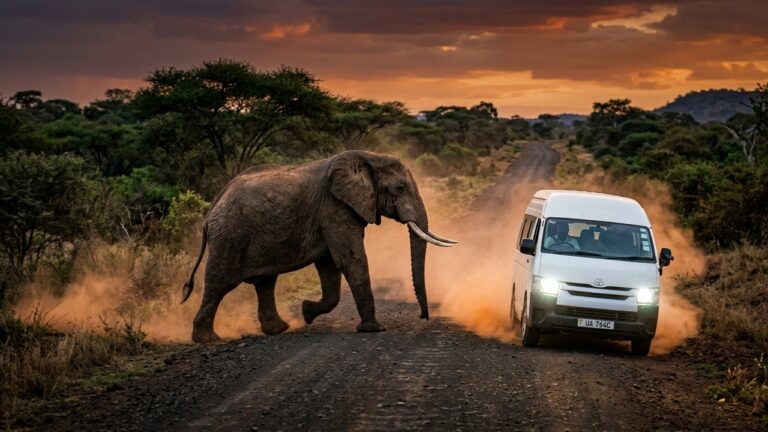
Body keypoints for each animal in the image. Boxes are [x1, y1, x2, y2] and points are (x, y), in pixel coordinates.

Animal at [181, 150, 456, 343]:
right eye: (400, 188)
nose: (423, 316)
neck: (368, 157)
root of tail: (212, 208)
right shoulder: (334, 209)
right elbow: (351, 260)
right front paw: (374, 330)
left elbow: (330, 267)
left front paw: (306, 312)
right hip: (230, 235)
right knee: (220, 283)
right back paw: (208, 339)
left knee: (265, 282)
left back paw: (279, 329)